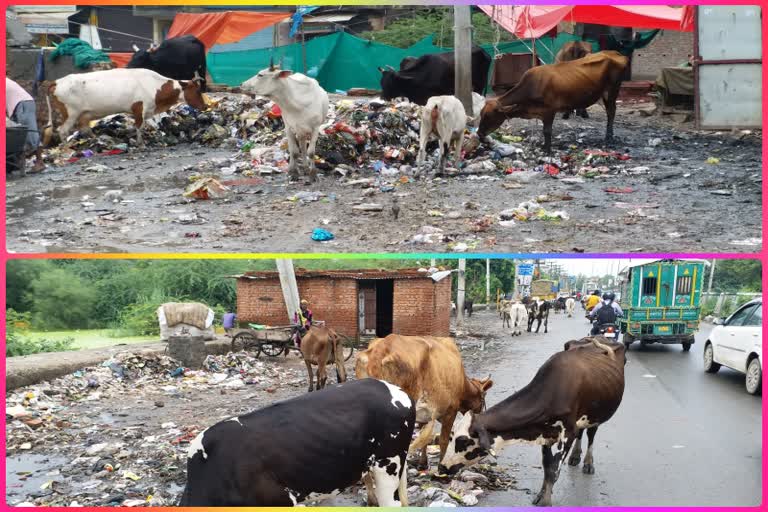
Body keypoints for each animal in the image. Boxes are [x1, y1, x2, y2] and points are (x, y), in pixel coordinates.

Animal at [45, 66, 204, 146]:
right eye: (197, 90)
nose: (204, 106)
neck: (155, 86)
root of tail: (57, 81)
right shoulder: (139, 108)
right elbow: (139, 126)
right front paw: (141, 144)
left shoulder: (148, 109)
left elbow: (151, 125)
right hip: (70, 113)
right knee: (63, 131)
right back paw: (67, 148)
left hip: (83, 114)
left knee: (84, 129)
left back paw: (98, 141)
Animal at [354, 334, 492, 474]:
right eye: (484, 397)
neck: (462, 381)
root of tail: (382, 348)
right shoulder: (451, 410)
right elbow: (443, 440)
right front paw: (442, 468)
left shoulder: (424, 415)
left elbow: (425, 439)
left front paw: (423, 463)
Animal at [436, 336, 628, 508]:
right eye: (451, 436)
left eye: (463, 441)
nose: (441, 468)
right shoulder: (546, 433)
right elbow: (546, 467)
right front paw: (542, 494)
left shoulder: (567, 433)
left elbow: (554, 470)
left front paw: (546, 501)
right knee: (582, 431)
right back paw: (575, 456)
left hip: (598, 413)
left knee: (591, 434)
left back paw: (588, 462)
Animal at [480, 50, 632, 153]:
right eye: (481, 114)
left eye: (489, 115)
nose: (479, 134)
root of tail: (614, 53)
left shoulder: (549, 110)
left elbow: (547, 131)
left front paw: (547, 149)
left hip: (612, 91)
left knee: (611, 112)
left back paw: (609, 137)